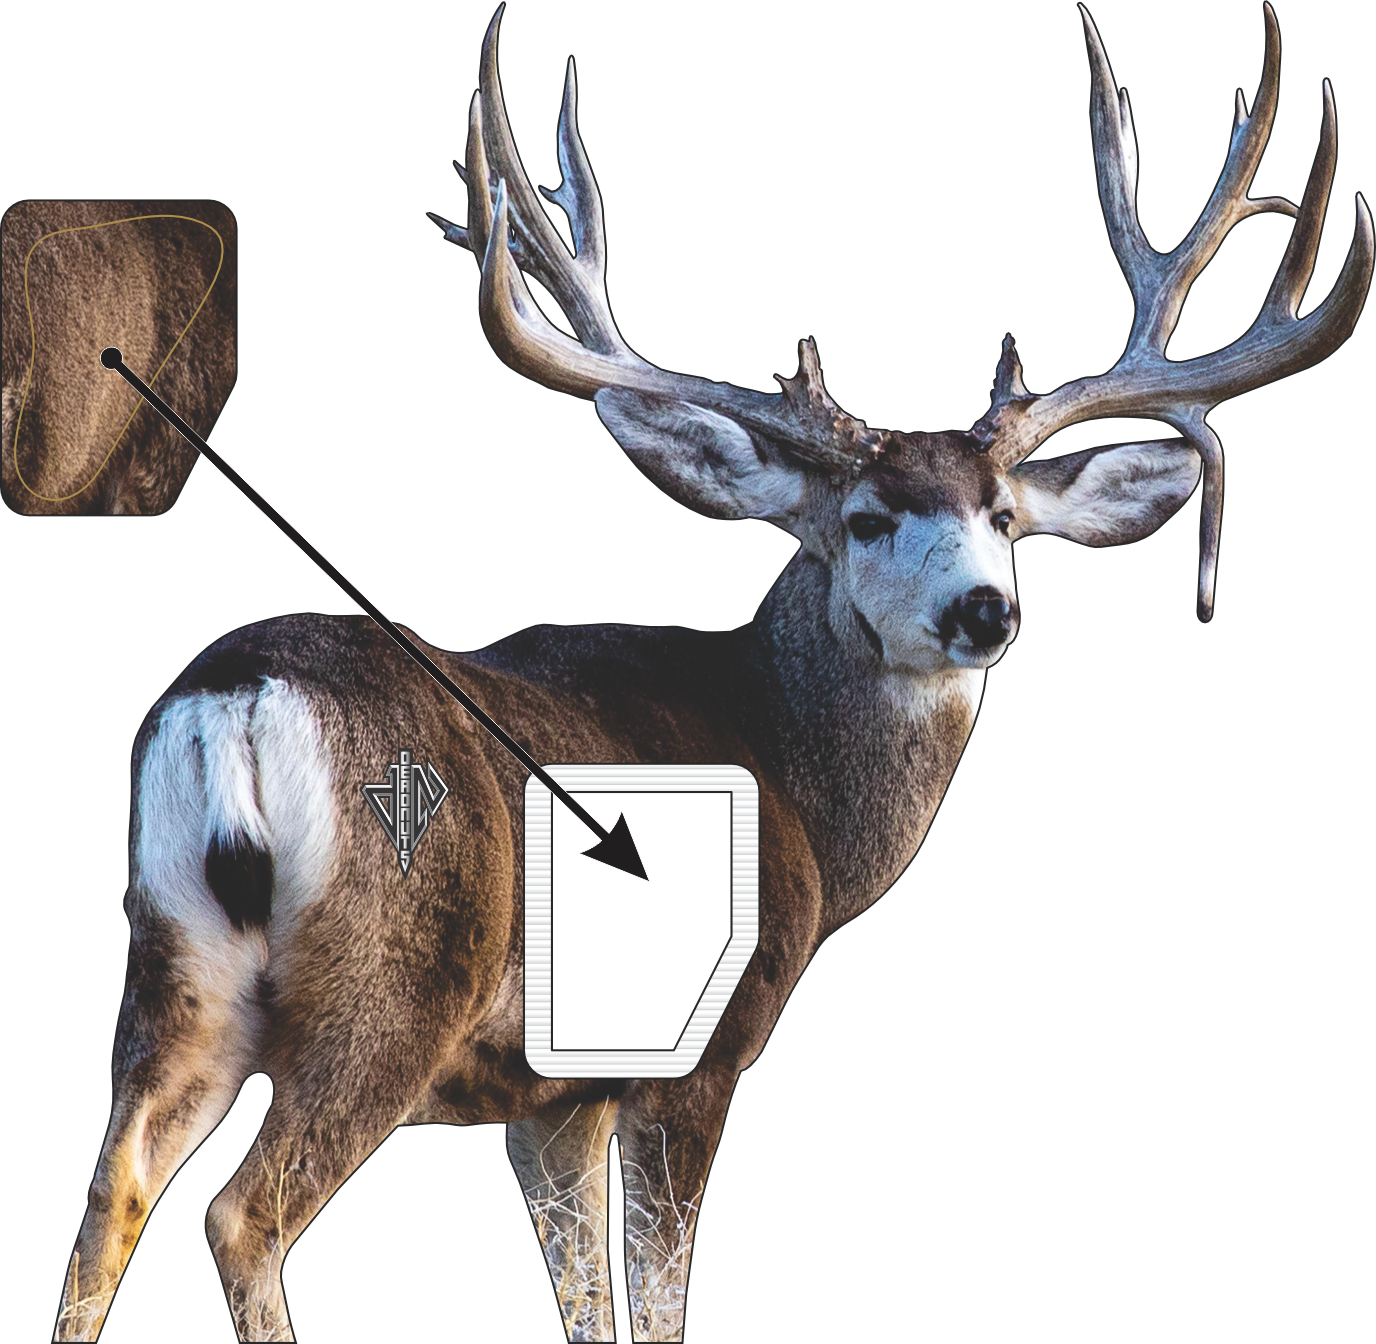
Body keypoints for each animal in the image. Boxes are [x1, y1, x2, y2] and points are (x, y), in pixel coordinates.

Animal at [53, 3, 1370, 1340]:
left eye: (1002, 515)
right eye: (865, 518)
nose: (983, 609)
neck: (792, 779)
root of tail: (235, 699)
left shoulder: (552, 1098)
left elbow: (587, 1300)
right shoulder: (697, 1050)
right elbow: (660, 1297)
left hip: (174, 975)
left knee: (109, 1200)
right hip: (393, 982)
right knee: (242, 1213)